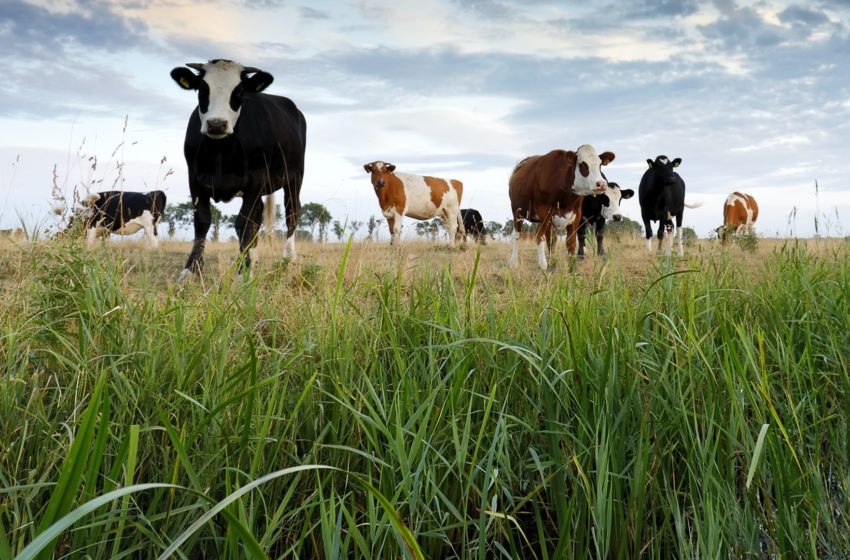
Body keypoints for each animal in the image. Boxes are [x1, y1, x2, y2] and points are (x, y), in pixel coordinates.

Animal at [171, 59, 306, 278]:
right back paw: (255, 259)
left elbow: (243, 224)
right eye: (202, 89)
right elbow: (203, 220)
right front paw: (191, 270)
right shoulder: (194, 179)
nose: (217, 124)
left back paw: (288, 258)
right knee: (258, 216)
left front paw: (243, 271)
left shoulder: (256, 179)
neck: (220, 153)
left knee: (292, 212)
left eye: (239, 92)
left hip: (295, 177)